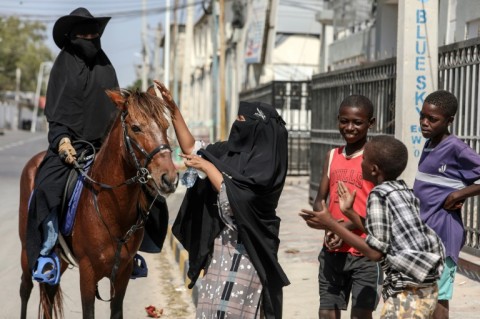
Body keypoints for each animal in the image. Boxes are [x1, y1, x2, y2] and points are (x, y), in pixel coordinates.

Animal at [17, 88, 178, 319]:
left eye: (165, 126)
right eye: (136, 128)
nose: (169, 178)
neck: (111, 209)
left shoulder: (122, 273)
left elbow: (116, 311)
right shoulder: (87, 273)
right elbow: (88, 311)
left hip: (61, 260)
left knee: (49, 294)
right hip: (26, 249)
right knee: (25, 288)